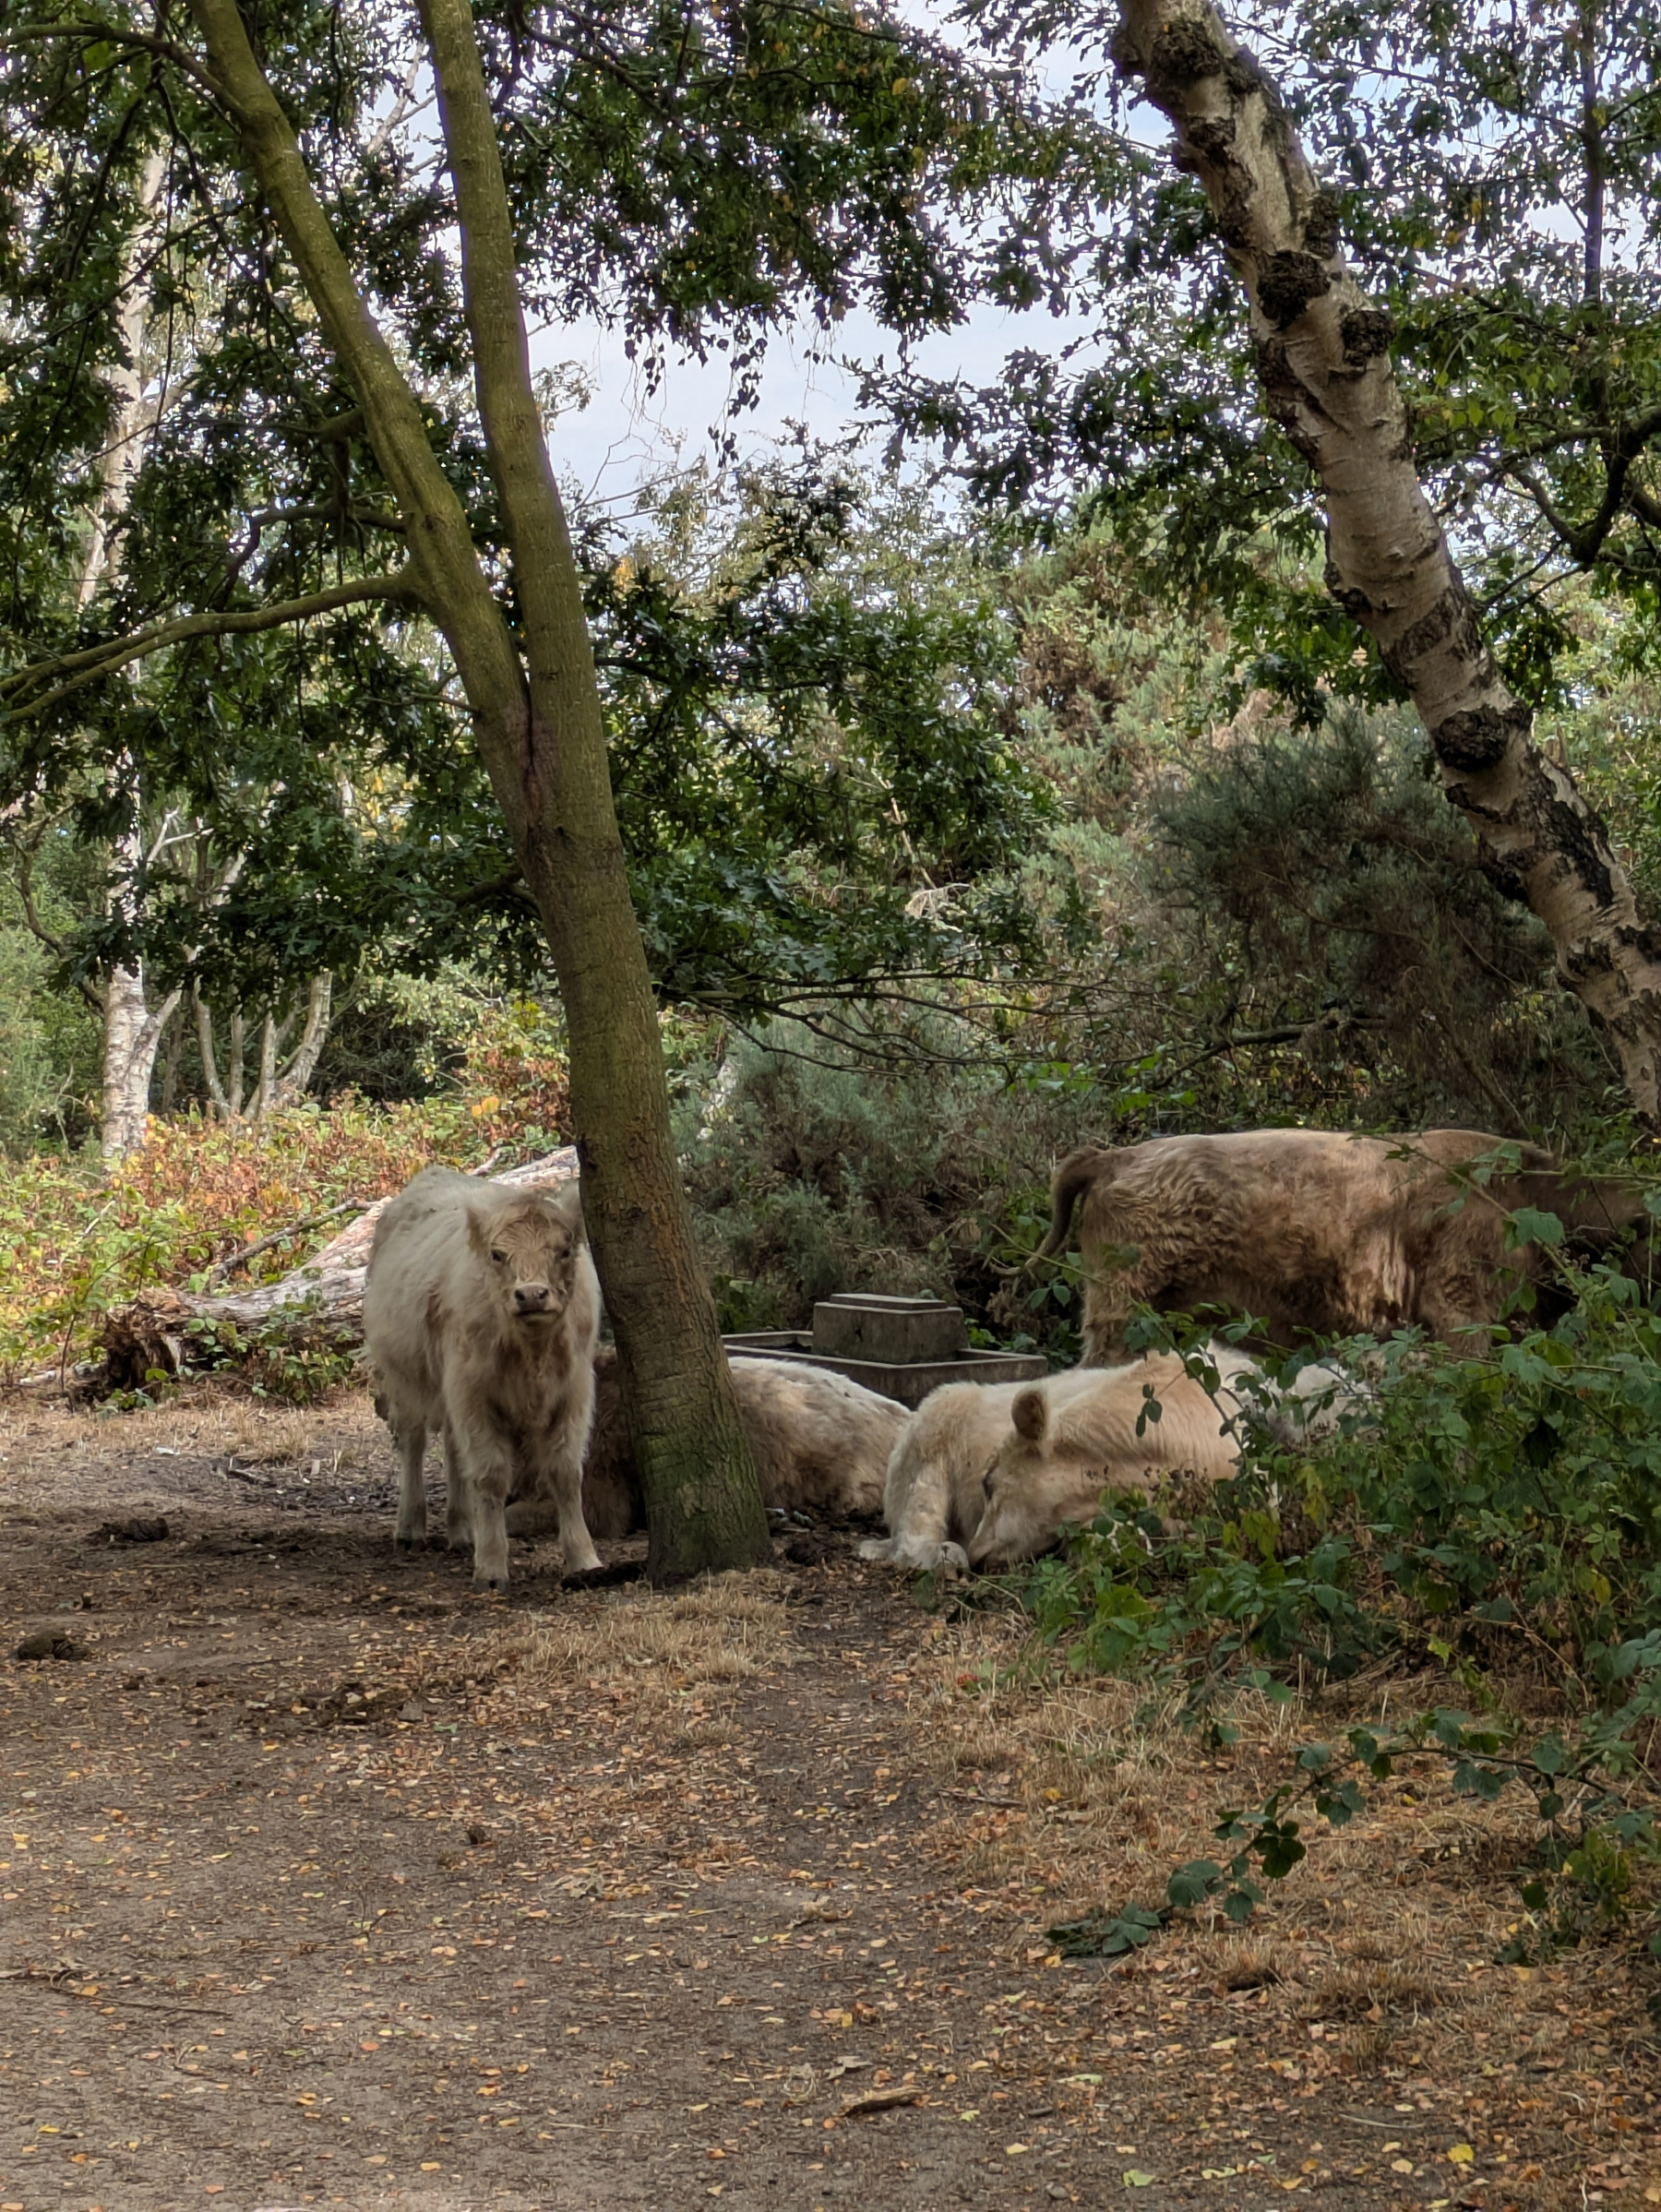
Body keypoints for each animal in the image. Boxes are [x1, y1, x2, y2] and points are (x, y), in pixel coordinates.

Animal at [364, 1166, 600, 1591]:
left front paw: (583, 1558)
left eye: (563, 1250)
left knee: (454, 1450)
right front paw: (491, 1567)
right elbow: (491, 1475)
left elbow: (566, 1472)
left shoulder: (574, 1392)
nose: (531, 1294)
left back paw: (462, 1532)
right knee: (413, 1443)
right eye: (497, 1254)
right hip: (405, 1380)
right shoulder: (474, 1394)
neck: (532, 1354)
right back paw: (411, 1527)